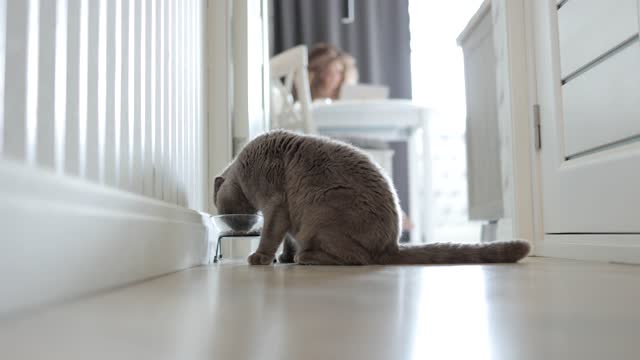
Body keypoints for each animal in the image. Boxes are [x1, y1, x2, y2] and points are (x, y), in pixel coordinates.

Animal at [215, 129, 528, 264]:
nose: (233, 224)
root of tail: (392, 244)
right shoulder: (288, 217)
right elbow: (286, 241)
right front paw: (284, 258)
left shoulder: (276, 207)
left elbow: (270, 237)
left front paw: (260, 258)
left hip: (321, 214)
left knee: (358, 259)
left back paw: (308, 258)